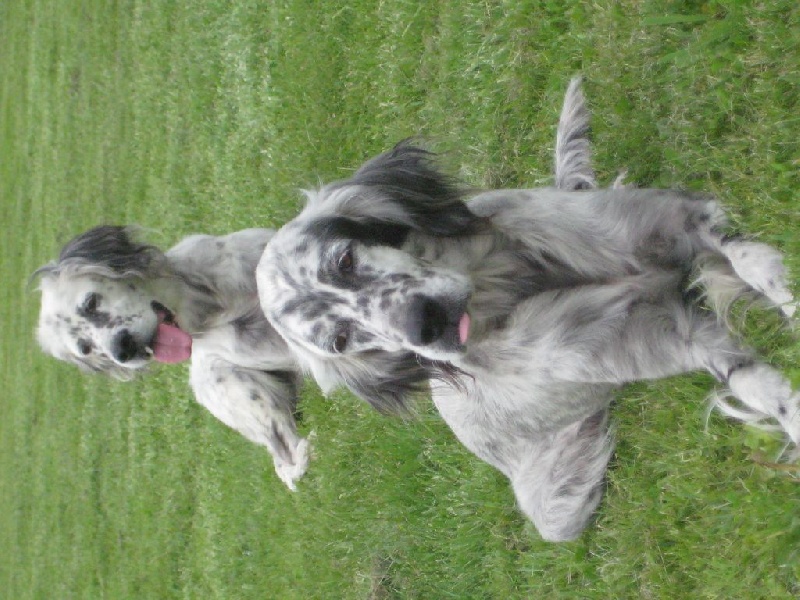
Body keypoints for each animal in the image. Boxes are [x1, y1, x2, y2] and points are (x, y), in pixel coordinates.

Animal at [34, 225, 311, 490]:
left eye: (90, 303)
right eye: (85, 348)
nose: (123, 351)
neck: (205, 302)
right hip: (235, 386)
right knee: (286, 452)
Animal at [256, 84, 798, 541]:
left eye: (344, 261)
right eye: (340, 340)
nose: (424, 326)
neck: (518, 286)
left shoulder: (676, 223)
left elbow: (751, 264)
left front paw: (783, 291)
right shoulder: (682, 337)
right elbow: (765, 392)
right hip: (558, 515)